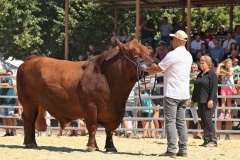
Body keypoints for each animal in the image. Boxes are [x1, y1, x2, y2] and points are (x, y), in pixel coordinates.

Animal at [16, 38, 153, 151]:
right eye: (135, 54)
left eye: (148, 52)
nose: (153, 65)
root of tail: (31, 59)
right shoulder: (90, 106)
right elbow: (92, 126)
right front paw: (92, 146)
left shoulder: (114, 112)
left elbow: (109, 130)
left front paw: (110, 147)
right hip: (27, 102)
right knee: (28, 119)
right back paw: (29, 143)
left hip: (35, 104)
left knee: (32, 120)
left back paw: (33, 142)